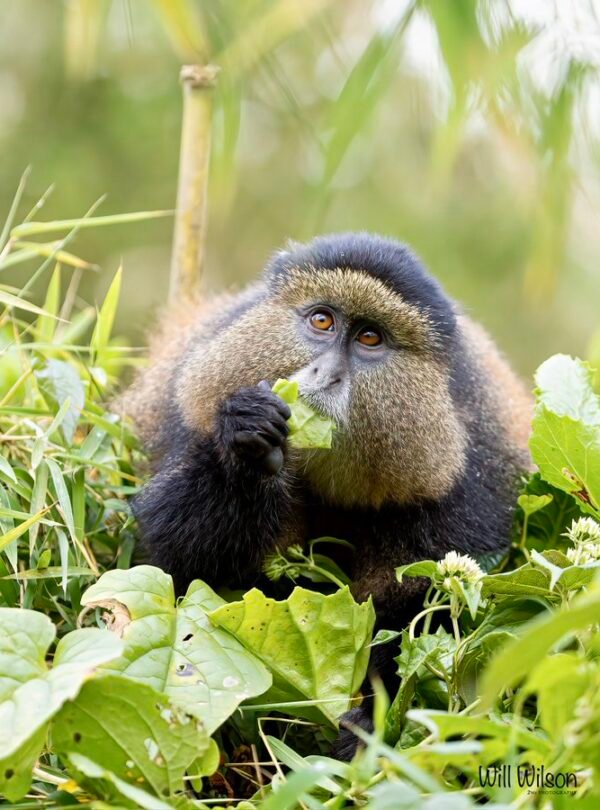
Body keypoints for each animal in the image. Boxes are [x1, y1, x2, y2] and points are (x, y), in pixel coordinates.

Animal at [122, 232, 532, 757]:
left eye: (370, 339)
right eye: (322, 321)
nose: (326, 374)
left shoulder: (463, 493)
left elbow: (421, 614)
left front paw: (366, 728)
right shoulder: (190, 416)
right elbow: (181, 559)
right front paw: (248, 442)